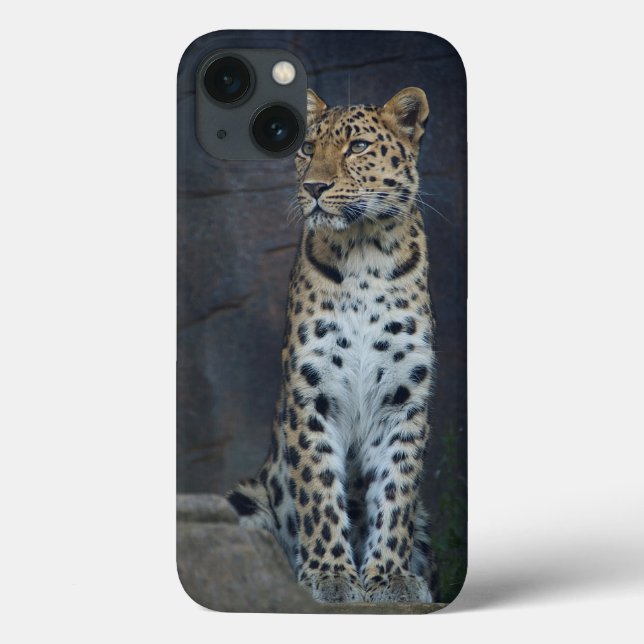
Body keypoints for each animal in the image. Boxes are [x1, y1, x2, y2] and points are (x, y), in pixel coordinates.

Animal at [226, 87, 436, 604]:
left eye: (357, 147)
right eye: (306, 147)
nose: (315, 188)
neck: (364, 253)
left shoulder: (404, 396)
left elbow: (396, 491)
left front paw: (391, 577)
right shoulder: (311, 391)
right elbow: (318, 488)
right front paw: (331, 575)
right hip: (245, 496)